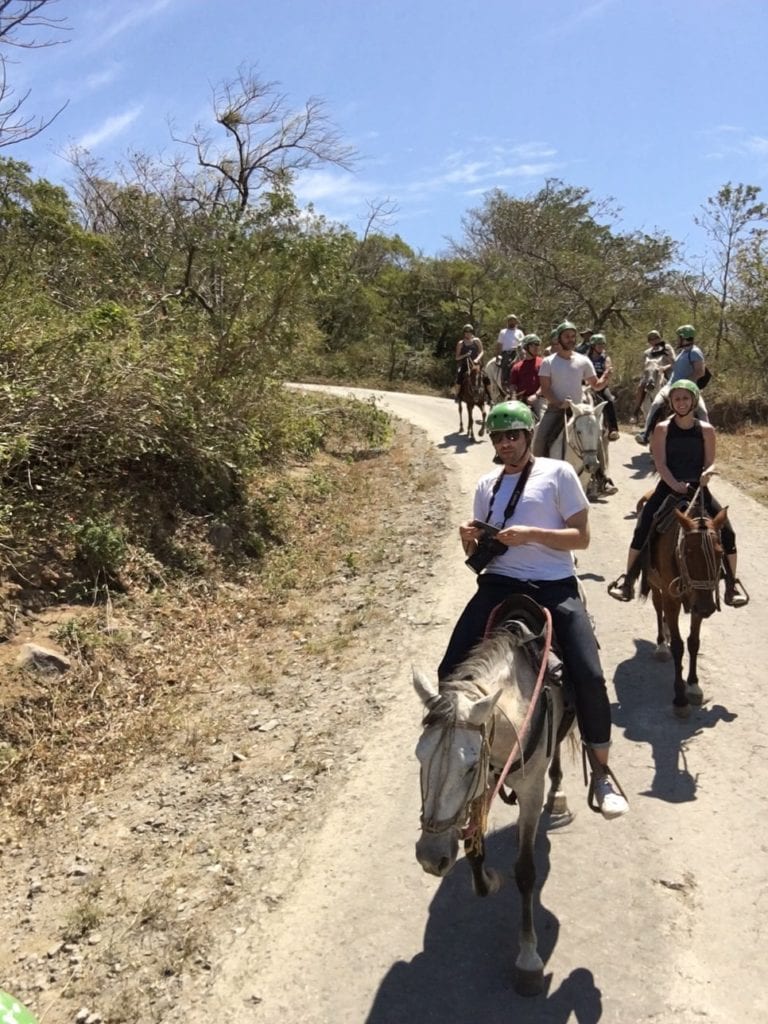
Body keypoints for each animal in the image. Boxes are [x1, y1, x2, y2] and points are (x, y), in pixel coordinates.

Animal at [643, 501, 729, 712]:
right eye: (688, 552)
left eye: (721, 552)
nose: (707, 608)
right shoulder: (673, 600)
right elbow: (678, 645)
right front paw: (680, 698)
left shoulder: (697, 603)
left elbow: (693, 642)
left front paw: (693, 685)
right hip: (655, 584)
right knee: (658, 608)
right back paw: (661, 645)